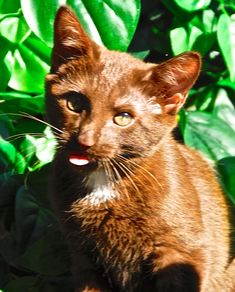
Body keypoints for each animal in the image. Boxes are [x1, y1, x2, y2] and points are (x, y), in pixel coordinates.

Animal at [45, 5, 235, 290]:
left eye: (124, 117)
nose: (85, 140)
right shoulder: (83, 257)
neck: (105, 183)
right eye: (75, 103)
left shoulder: (184, 253)